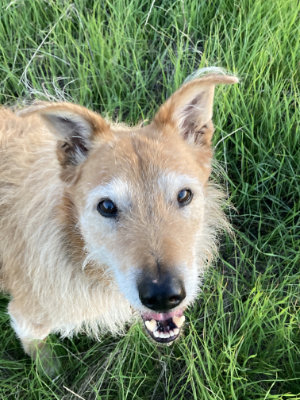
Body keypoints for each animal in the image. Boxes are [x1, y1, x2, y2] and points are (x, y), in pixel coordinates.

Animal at [0, 69, 238, 366]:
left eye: (184, 195)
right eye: (107, 206)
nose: (163, 297)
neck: (79, 250)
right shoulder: (26, 319)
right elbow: (40, 353)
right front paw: (50, 372)